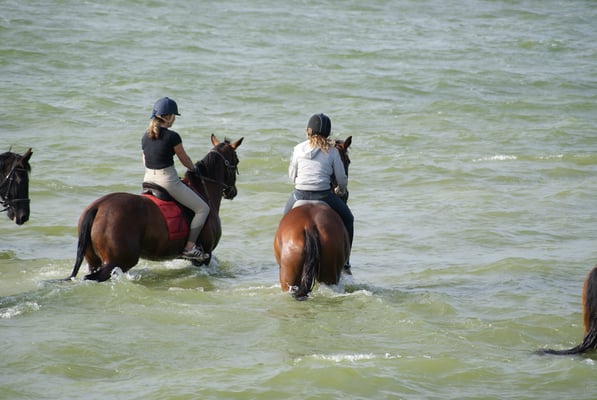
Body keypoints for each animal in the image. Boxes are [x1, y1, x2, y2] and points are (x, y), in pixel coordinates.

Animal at [67, 134, 243, 282]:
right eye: (236, 160)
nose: (232, 192)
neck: (202, 190)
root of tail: (97, 206)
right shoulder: (206, 254)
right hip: (117, 261)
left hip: (93, 260)